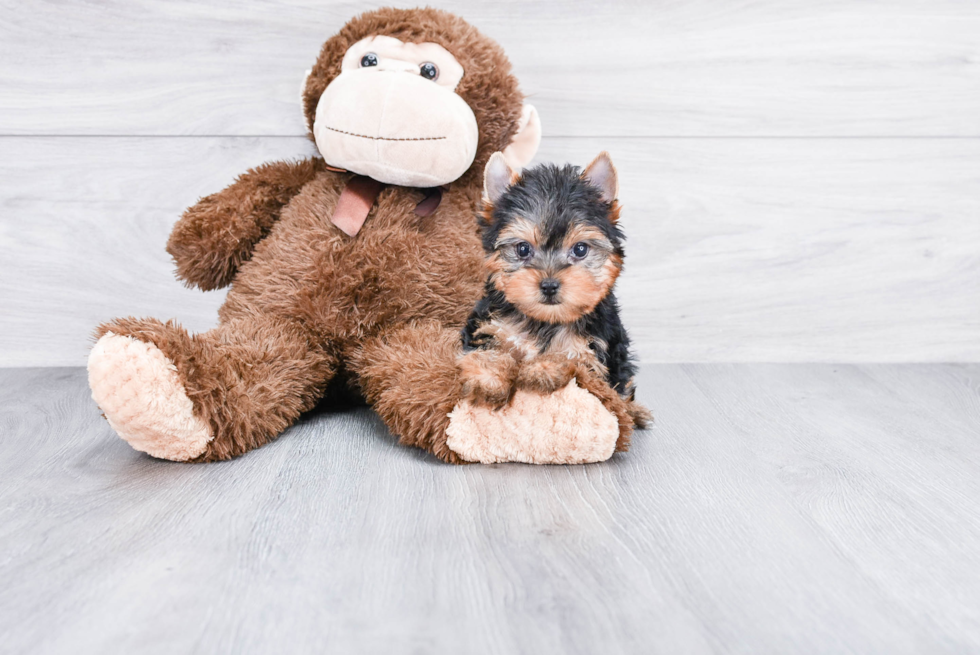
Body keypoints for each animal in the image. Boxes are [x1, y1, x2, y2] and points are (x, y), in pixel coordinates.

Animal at [460, 150, 652, 426]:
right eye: (523, 249)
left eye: (580, 249)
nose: (549, 285)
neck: (545, 321)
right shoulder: (487, 322)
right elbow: (488, 348)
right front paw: (487, 380)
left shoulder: (594, 350)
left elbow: (568, 358)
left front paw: (543, 369)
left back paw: (634, 411)